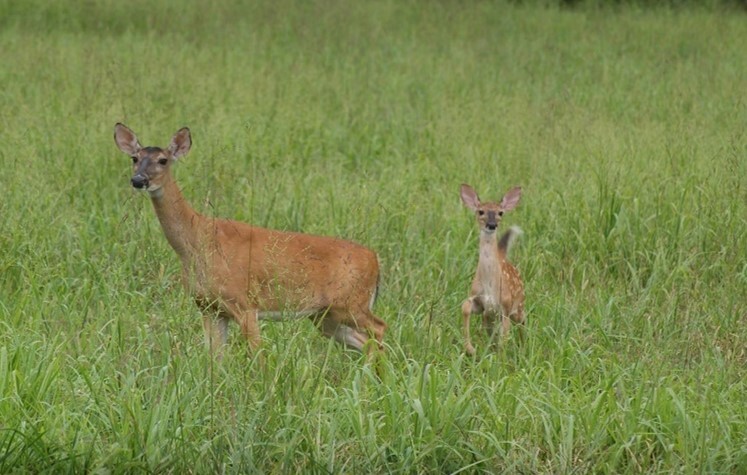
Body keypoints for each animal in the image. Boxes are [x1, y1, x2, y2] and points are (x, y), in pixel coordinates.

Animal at [115, 124, 392, 358]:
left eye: (163, 160)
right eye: (135, 158)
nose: (138, 180)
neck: (199, 241)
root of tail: (375, 260)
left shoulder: (244, 304)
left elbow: (258, 357)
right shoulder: (209, 308)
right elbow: (215, 360)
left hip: (351, 303)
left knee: (379, 329)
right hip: (326, 315)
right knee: (365, 342)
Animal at [462, 184, 524, 356]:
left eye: (500, 212)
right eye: (480, 211)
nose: (491, 225)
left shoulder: (506, 307)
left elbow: (504, 338)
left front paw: (501, 358)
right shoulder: (480, 302)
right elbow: (465, 307)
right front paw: (470, 348)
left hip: (519, 305)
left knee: (522, 323)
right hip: (491, 316)